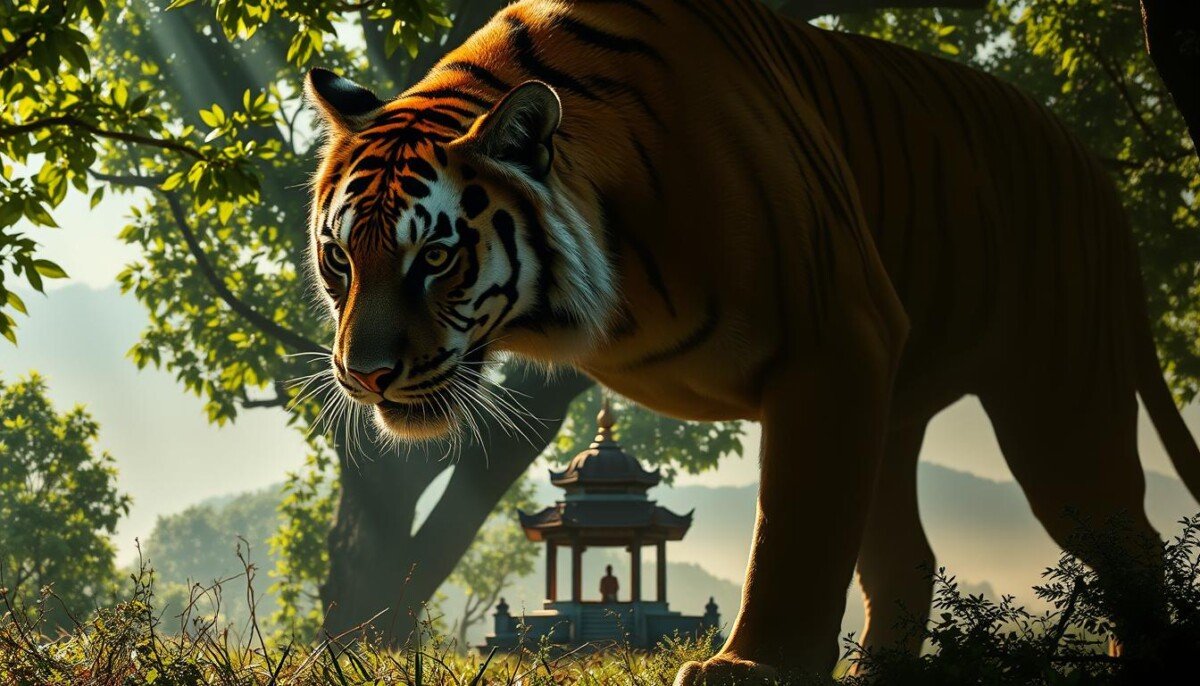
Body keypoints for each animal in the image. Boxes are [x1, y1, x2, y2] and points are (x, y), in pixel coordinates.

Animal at [304, 0, 1200, 681]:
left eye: (435, 257)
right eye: (340, 258)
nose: (364, 375)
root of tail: (1091, 163)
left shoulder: (836, 341)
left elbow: (794, 527)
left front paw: (751, 668)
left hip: (1055, 393)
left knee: (1129, 539)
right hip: (900, 407)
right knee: (907, 557)